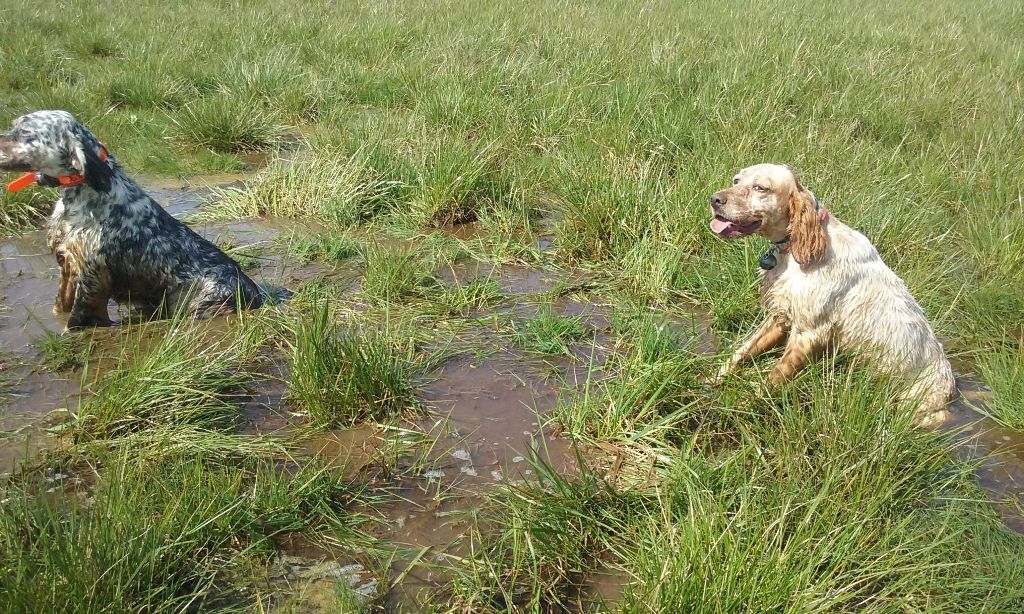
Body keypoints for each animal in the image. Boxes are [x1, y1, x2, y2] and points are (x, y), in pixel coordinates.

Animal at [1, 112, 264, 329]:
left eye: (24, 131)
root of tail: (253, 292)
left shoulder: (92, 278)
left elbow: (77, 317)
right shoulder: (67, 263)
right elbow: (60, 306)